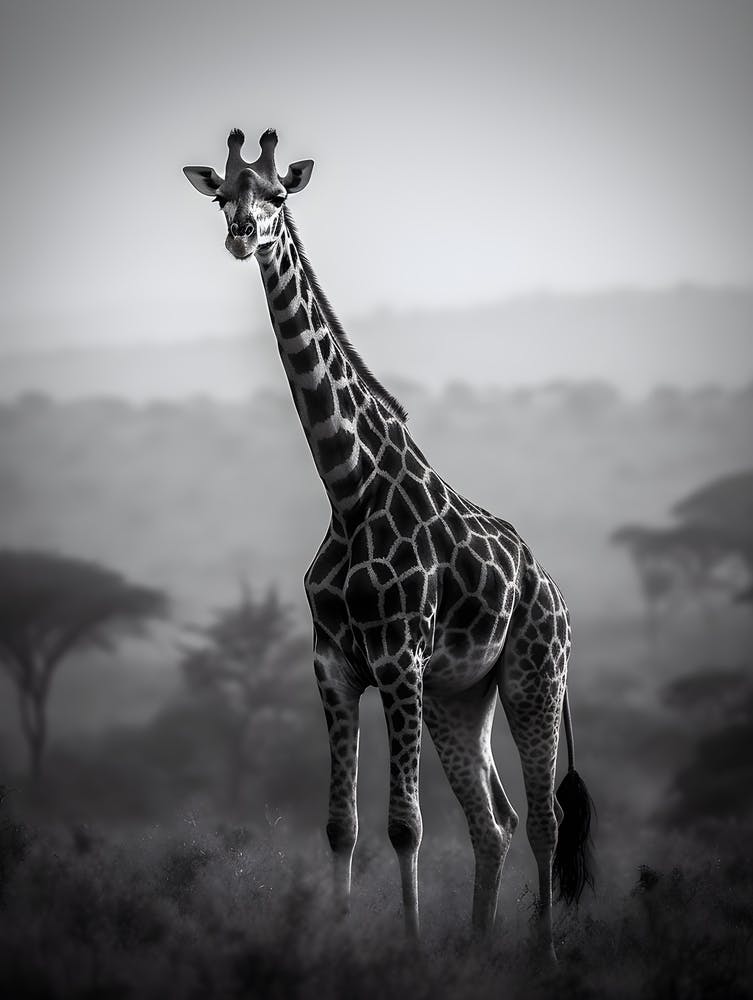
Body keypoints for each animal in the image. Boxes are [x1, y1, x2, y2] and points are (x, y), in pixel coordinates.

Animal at [183, 128, 595, 954]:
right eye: (222, 196)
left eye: (278, 195)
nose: (242, 235)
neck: (346, 490)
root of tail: (555, 594)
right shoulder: (334, 665)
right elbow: (340, 826)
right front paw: (342, 943)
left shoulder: (398, 656)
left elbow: (404, 825)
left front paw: (406, 951)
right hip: (459, 696)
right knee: (493, 822)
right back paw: (476, 944)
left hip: (533, 676)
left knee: (542, 818)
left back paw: (539, 952)